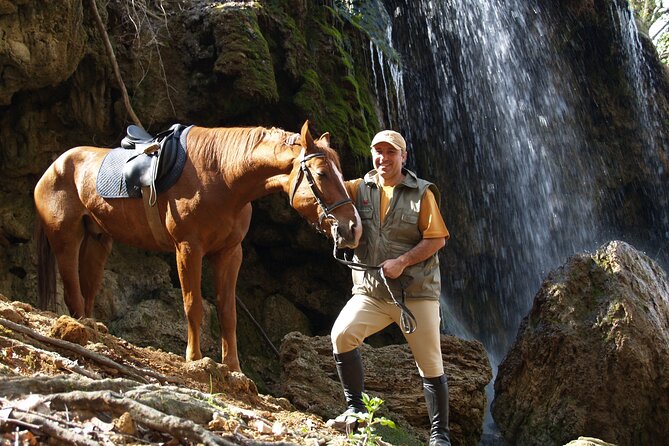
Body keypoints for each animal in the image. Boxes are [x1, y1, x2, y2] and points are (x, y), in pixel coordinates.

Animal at [34, 120, 361, 372]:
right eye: (321, 174)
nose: (353, 228)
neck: (222, 176)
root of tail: (53, 167)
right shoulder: (188, 249)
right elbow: (194, 305)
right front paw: (194, 358)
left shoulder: (229, 253)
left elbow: (228, 311)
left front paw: (233, 367)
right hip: (66, 238)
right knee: (73, 288)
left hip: (98, 239)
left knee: (88, 287)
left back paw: (93, 327)